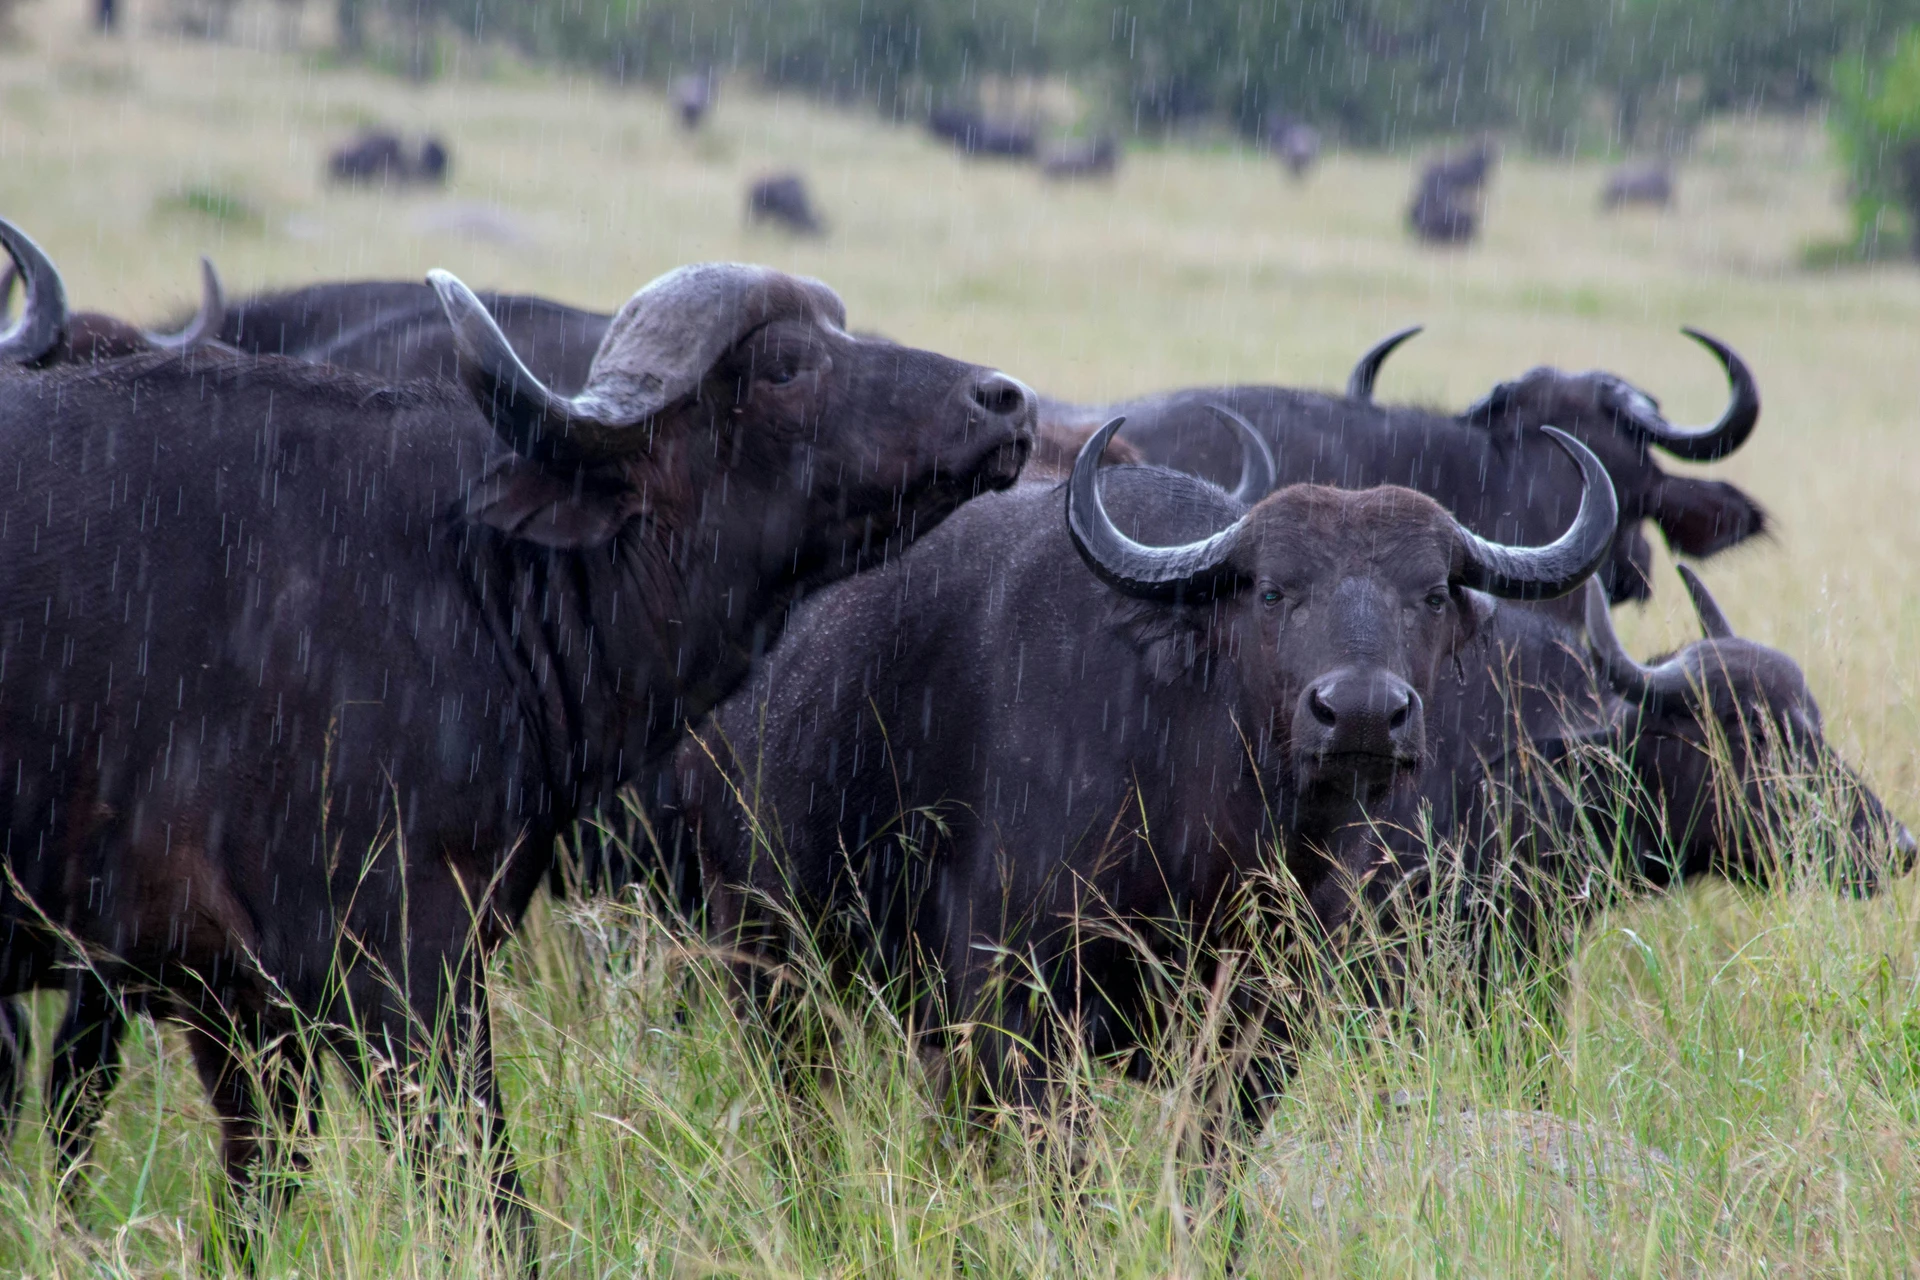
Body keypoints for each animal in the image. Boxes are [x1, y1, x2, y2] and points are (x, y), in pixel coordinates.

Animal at [0, 255, 1036, 1258]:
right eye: (783, 366)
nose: (1006, 399)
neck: (470, 571)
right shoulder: (393, 969)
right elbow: (487, 1191)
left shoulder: (237, 1007)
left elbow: (260, 1198)